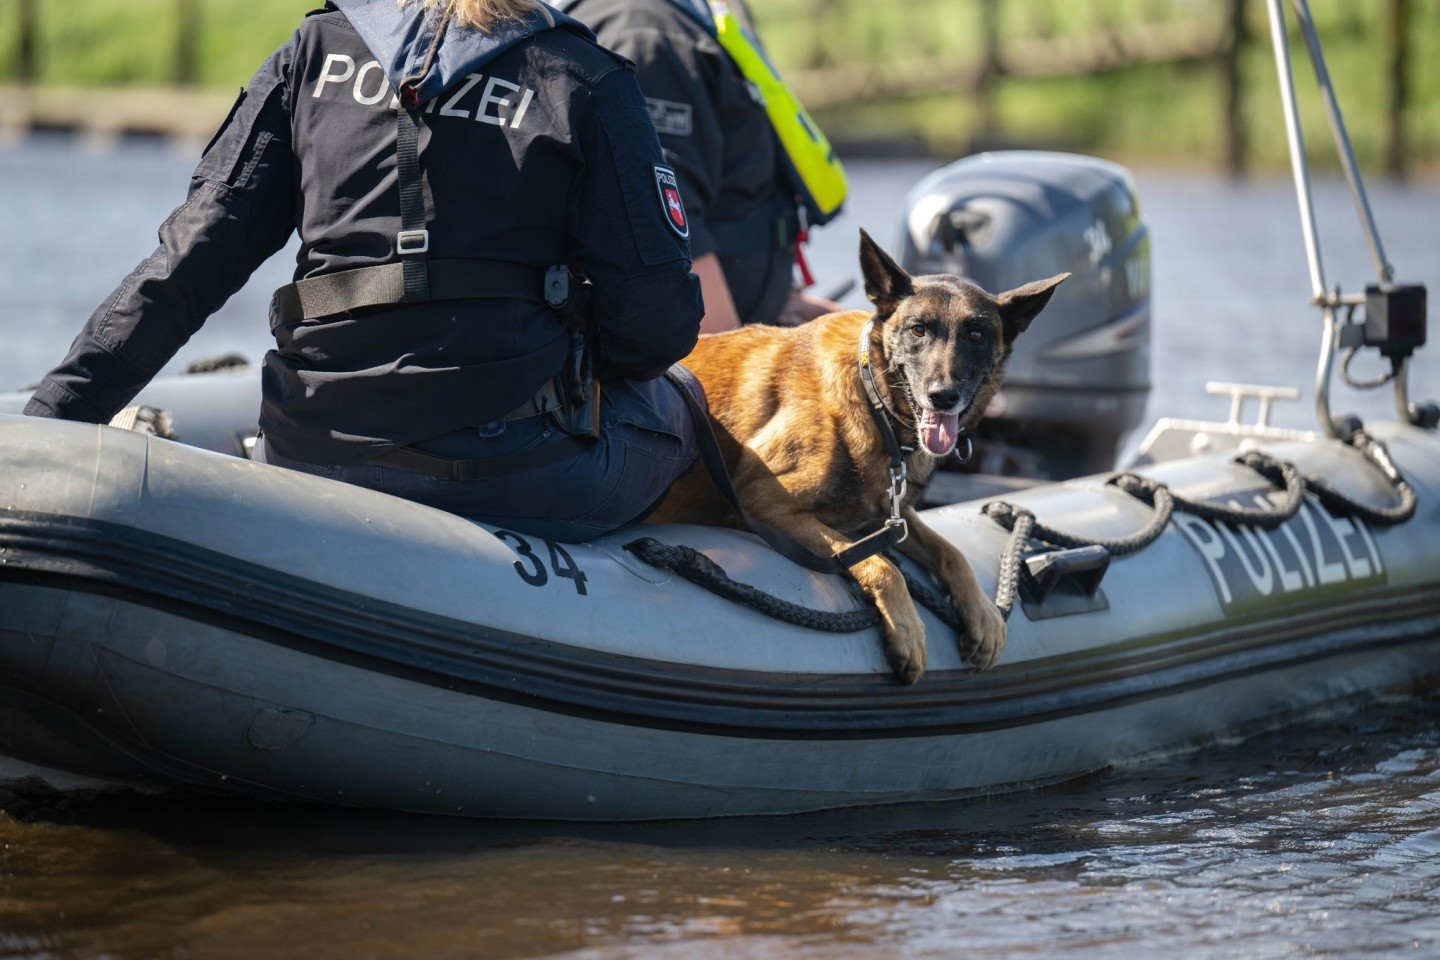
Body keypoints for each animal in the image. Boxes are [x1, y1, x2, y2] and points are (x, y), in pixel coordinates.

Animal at [648, 228, 1065, 682]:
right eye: (918, 330)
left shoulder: (892, 514)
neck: (874, 400)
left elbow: (950, 552)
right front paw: (907, 629)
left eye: (976, 335)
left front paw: (983, 614)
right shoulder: (764, 504)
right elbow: (881, 564)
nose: (943, 396)